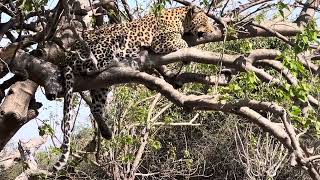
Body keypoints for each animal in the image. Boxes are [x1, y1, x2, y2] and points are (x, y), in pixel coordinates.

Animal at [53, 4, 218, 171]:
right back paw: (117, 60)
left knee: (95, 107)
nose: (212, 30)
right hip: (106, 45)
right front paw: (185, 53)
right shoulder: (161, 40)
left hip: (102, 84)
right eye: (205, 21)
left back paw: (106, 132)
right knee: (91, 65)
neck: (181, 19)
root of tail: (68, 55)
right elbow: (181, 42)